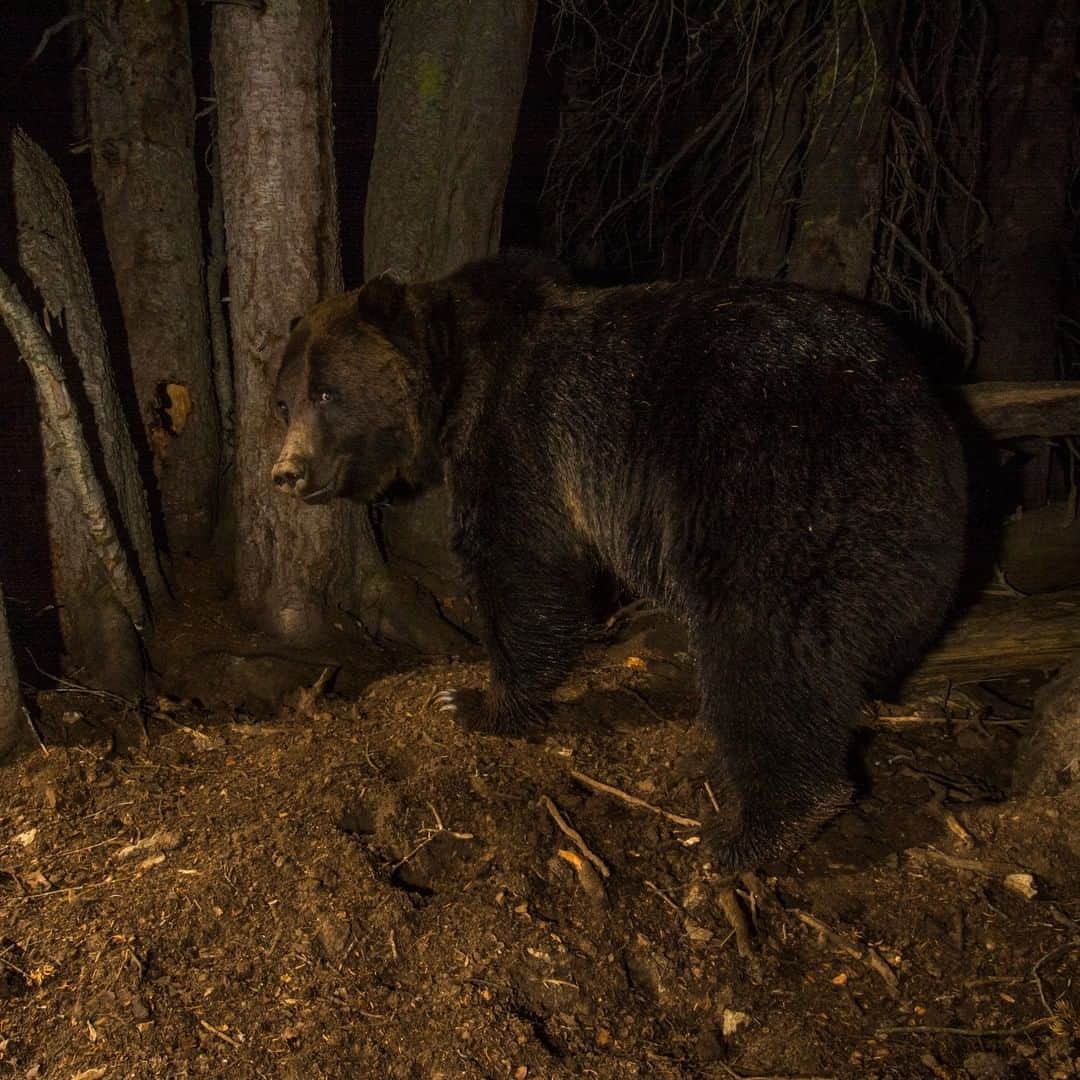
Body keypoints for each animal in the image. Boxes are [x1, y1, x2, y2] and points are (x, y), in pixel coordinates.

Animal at [271, 252, 967, 869]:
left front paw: (474, 702)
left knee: (763, 644)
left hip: (776, 486)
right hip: (897, 546)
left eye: (327, 392)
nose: (286, 471)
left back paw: (752, 830)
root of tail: (921, 417)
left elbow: (521, 561)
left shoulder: (521, 431)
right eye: (285, 400)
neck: (456, 380)